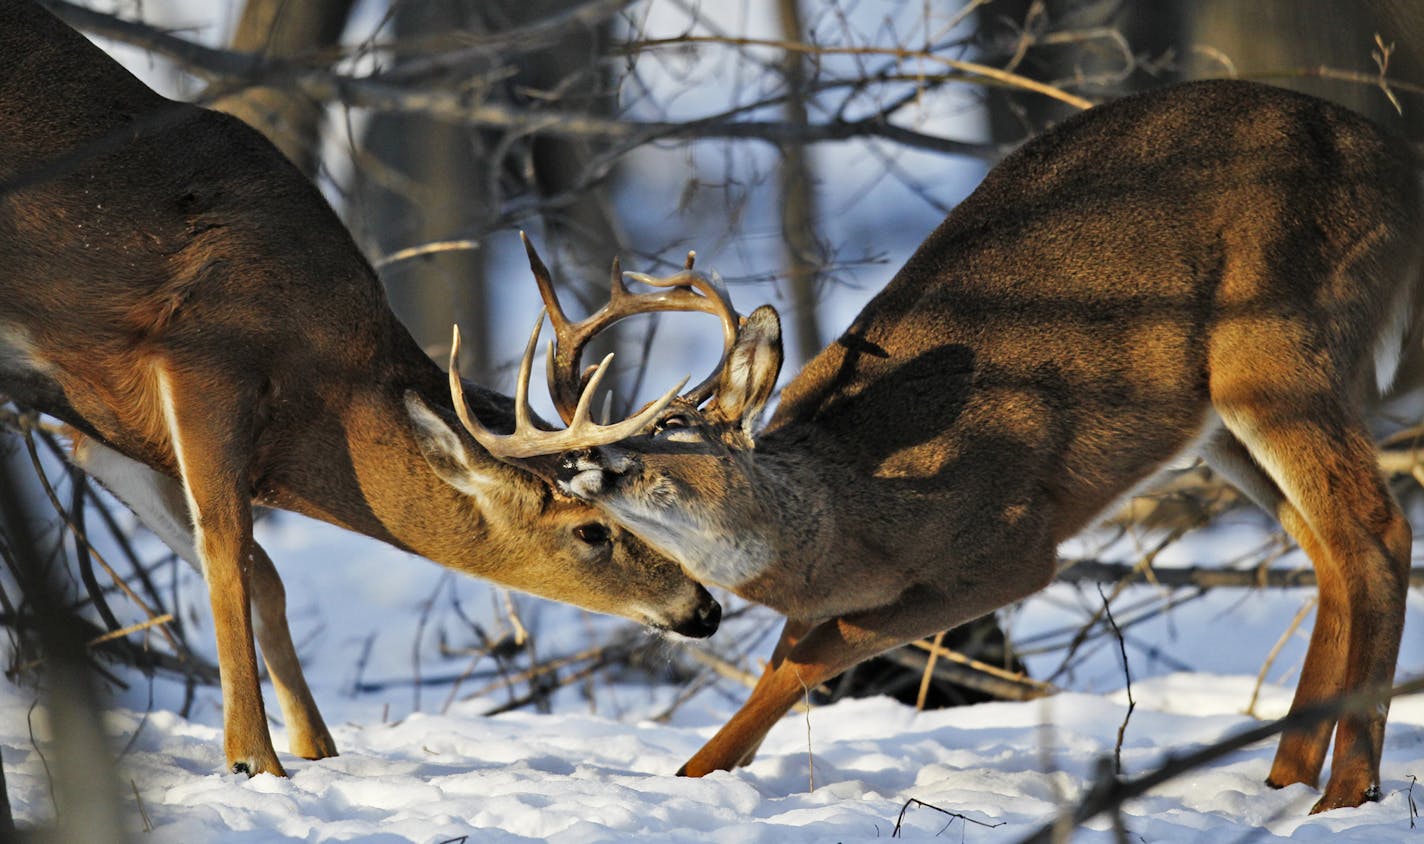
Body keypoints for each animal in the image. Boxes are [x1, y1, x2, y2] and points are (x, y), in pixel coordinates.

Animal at [0, 0, 717, 774]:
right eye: (591, 529)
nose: (704, 608)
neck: (325, 380)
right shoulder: (203, 363)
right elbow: (230, 561)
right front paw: (254, 761)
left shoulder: (102, 427)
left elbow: (266, 575)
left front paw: (316, 750)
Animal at [461, 82, 1418, 814]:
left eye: (671, 427)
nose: (580, 461)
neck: (849, 518)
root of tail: (1394, 163)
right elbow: (787, 654)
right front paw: (702, 775)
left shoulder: (1008, 545)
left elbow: (813, 653)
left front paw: (693, 776)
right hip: (1222, 420)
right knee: (1329, 550)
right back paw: (1283, 781)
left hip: (1277, 343)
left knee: (1377, 530)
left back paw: (1345, 794)